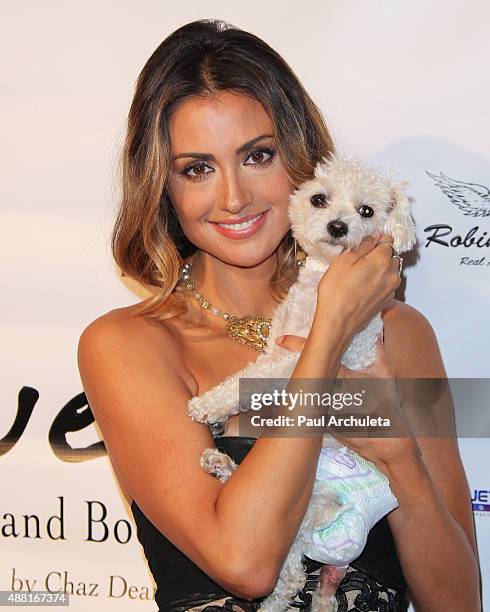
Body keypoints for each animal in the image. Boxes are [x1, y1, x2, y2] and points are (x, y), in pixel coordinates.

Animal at [188, 154, 418, 612]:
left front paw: (209, 405)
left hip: (311, 500)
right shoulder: (277, 345)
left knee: (293, 575)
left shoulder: (298, 358)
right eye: (319, 199)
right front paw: (221, 415)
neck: (320, 285)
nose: (338, 226)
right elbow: (250, 375)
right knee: (293, 568)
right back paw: (222, 465)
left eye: (366, 210)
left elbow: (250, 380)